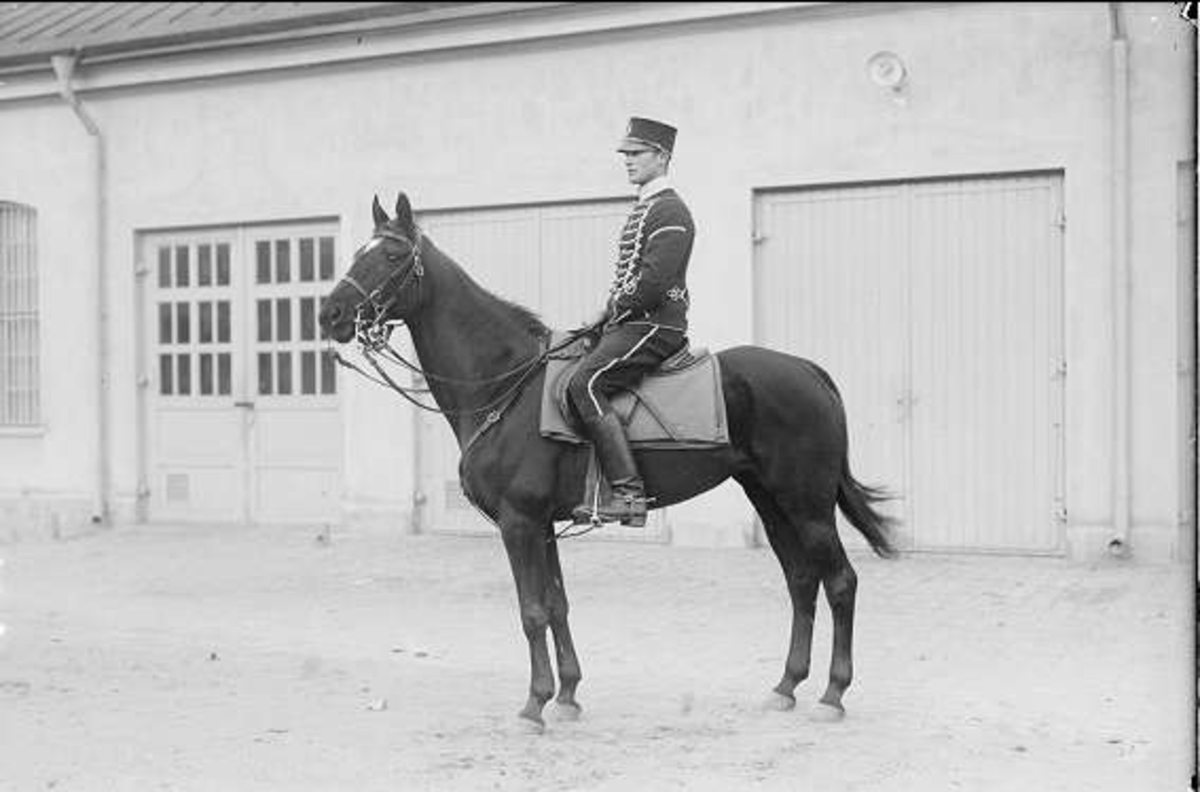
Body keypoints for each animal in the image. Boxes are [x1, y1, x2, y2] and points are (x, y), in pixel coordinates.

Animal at [319, 192, 898, 732]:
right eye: (359, 250)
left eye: (392, 254)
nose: (330, 314)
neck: (508, 382)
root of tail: (807, 370)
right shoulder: (542, 526)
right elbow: (556, 605)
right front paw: (568, 695)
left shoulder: (519, 522)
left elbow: (532, 612)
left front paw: (534, 704)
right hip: (770, 499)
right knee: (801, 579)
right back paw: (786, 686)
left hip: (807, 504)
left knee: (840, 581)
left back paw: (832, 693)